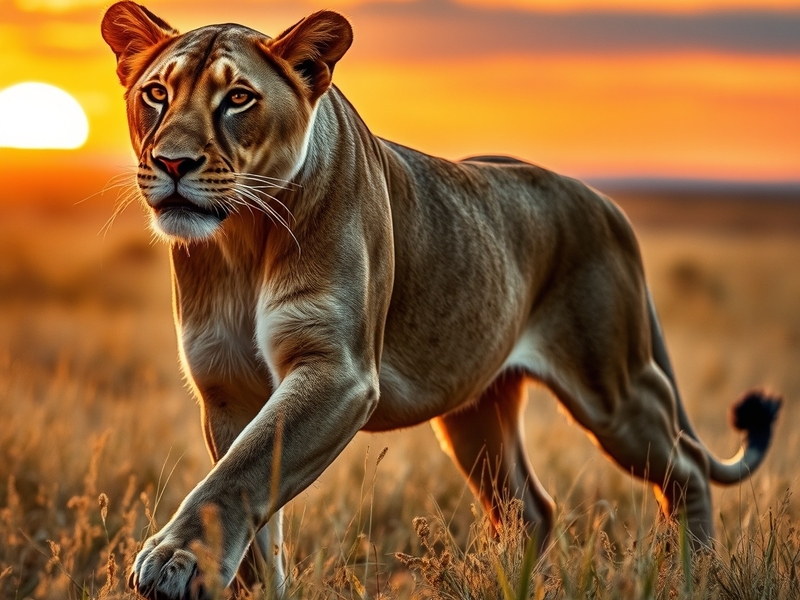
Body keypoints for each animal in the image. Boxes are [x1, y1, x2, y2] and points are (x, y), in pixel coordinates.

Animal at [101, 3, 780, 598]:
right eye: (156, 94)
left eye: (238, 98)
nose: (173, 163)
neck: (241, 237)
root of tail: (606, 203)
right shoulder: (226, 385)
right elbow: (247, 499)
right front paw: (231, 581)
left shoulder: (340, 371)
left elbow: (238, 475)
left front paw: (172, 559)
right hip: (476, 413)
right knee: (530, 507)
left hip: (613, 387)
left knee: (685, 469)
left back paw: (695, 572)